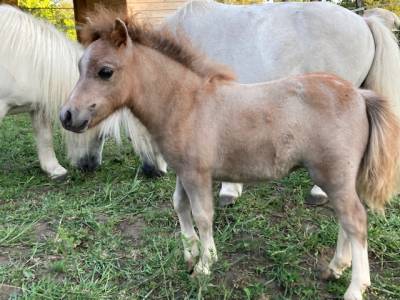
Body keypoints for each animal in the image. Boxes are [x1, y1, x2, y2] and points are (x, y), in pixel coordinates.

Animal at [0, 4, 130, 178]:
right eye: (103, 135)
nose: (91, 166)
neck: (23, 59)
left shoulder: (39, 106)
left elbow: (45, 136)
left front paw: (54, 170)